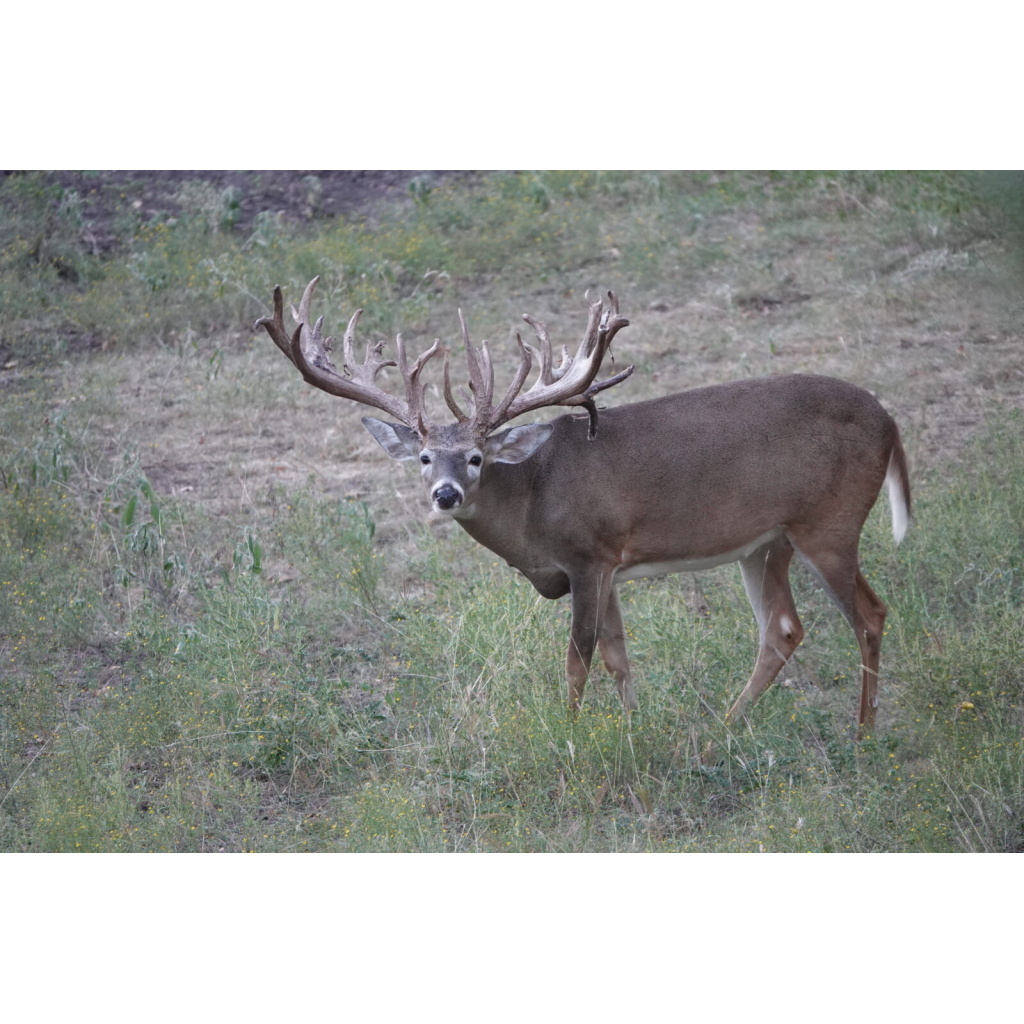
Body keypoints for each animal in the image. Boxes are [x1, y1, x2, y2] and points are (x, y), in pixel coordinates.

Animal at [256, 277, 911, 739]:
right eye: (422, 457)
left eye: (475, 457)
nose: (445, 494)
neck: (532, 505)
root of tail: (889, 421)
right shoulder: (611, 566)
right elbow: (620, 656)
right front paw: (634, 729)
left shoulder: (589, 555)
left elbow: (580, 658)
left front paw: (569, 736)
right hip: (766, 541)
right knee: (782, 629)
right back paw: (721, 730)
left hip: (829, 522)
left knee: (869, 615)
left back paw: (863, 734)